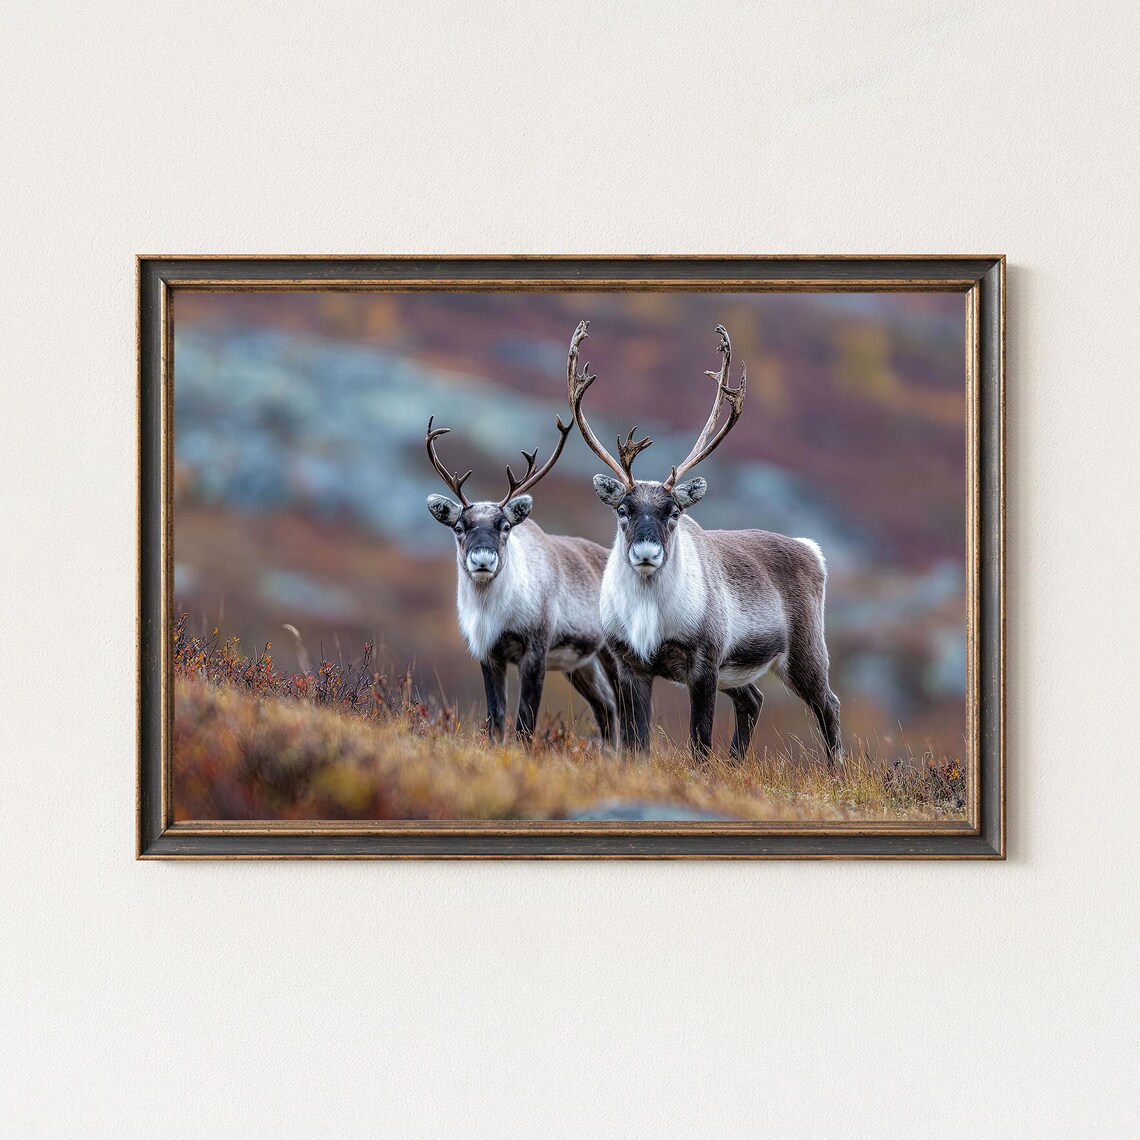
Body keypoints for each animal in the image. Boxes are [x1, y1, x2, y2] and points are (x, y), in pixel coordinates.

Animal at [424, 413, 618, 746]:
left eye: (505, 526)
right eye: (459, 527)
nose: (483, 559)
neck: (494, 612)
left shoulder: (535, 651)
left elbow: (525, 722)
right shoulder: (488, 653)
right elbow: (496, 718)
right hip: (582, 663)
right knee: (606, 707)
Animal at [566, 319, 842, 766]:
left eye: (674, 511)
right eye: (623, 509)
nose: (647, 553)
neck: (650, 612)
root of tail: (811, 550)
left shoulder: (704, 663)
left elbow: (699, 741)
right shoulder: (630, 664)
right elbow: (637, 740)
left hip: (804, 651)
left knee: (827, 704)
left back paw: (836, 772)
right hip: (742, 670)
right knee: (753, 699)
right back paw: (736, 764)